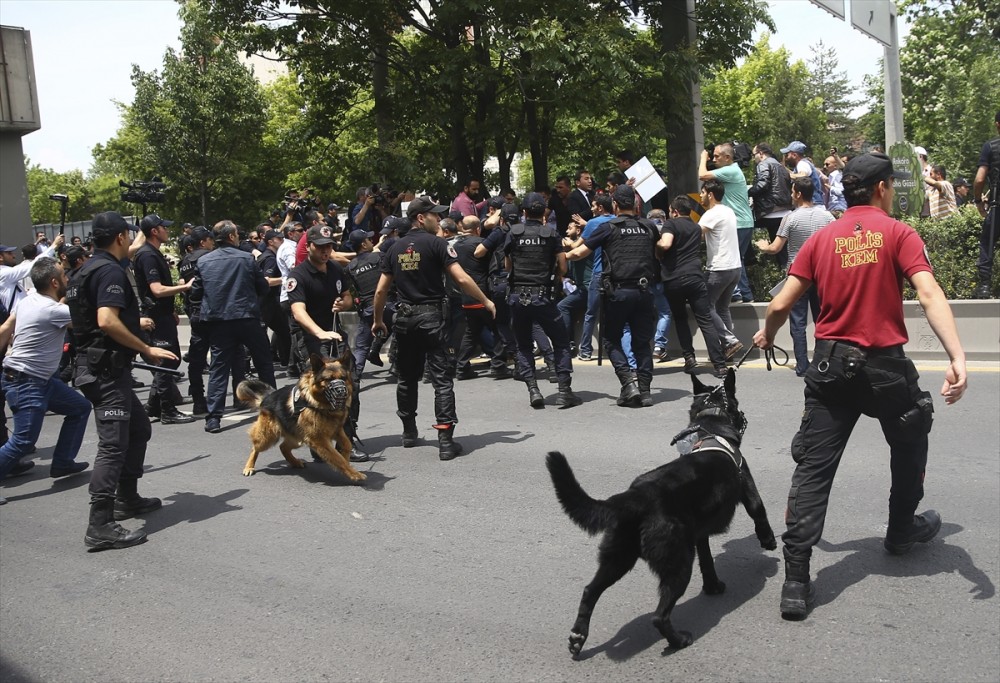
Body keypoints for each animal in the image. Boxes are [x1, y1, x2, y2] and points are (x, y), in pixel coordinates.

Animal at [235, 352, 368, 486]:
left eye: (343, 378)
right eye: (328, 379)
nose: (341, 391)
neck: (320, 404)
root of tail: (268, 396)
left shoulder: (336, 430)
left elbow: (347, 444)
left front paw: (347, 457)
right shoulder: (319, 440)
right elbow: (337, 458)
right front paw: (354, 474)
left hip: (298, 438)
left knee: (283, 447)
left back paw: (295, 462)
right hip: (268, 437)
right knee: (255, 448)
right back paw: (249, 467)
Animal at [548, 368, 772, 656]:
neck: (711, 423)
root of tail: (634, 497)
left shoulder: (699, 534)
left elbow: (708, 561)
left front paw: (712, 586)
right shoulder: (747, 483)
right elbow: (758, 510)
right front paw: (768, 541)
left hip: (618, 557)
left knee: (589, 591)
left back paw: (578, 636)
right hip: (677, 562)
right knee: (659, 616)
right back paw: (678, 640)